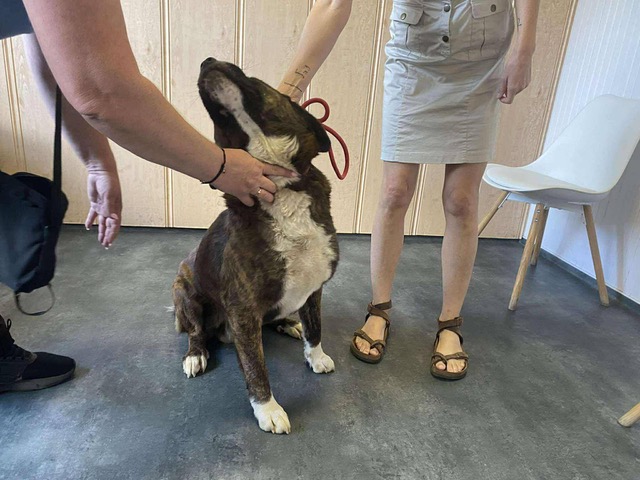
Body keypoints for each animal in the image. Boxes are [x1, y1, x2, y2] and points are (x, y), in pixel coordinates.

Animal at [172, 58, 339, 434]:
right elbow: (255, 366)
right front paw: (268, 409)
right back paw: (196, 355)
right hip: (184, 289)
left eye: (253, 76)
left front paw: (316, 355)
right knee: (196, 331)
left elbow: (316, 327)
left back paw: (288, 323)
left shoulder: (314, 288)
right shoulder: (243, 309)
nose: (207, 60)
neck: (280, 187)